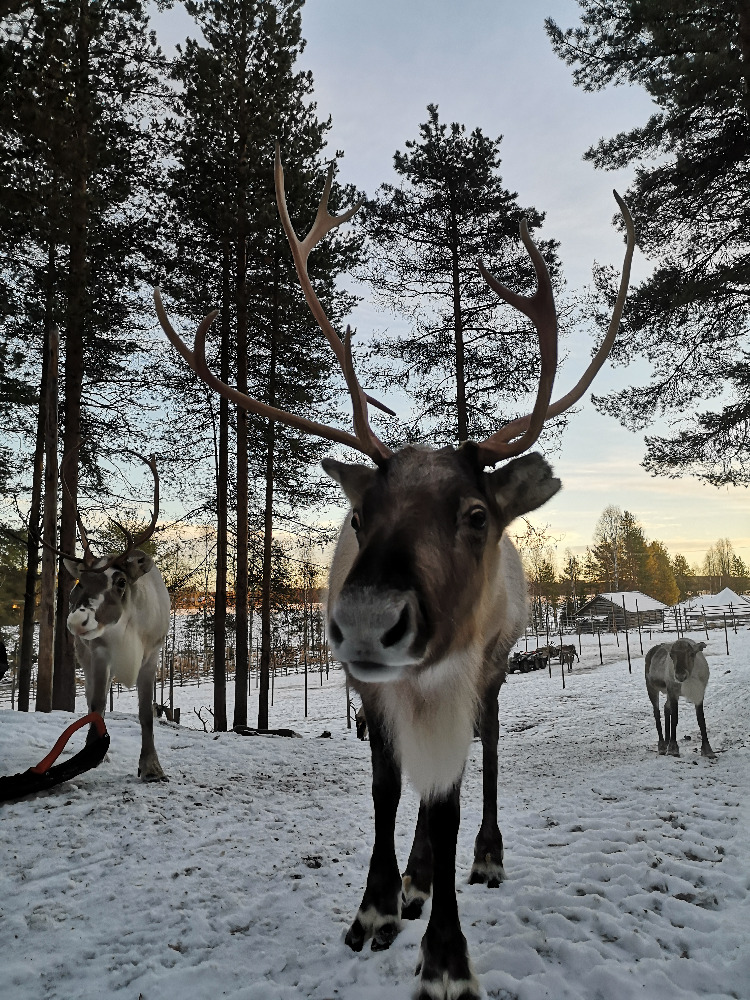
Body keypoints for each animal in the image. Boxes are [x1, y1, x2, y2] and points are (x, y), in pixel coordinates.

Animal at [62, 454, 171, 781]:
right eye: (80, 581)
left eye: (120, 581)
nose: (77, 621)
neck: (129, 632)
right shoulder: (99, 654)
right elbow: (96, 704)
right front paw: (91, 753)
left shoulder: (152, 655)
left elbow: (147, 712)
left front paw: (151, 768)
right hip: (84, 657)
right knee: (90, 700)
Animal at [154, 144, 634, 1000]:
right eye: (358, 516)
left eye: (475, 515)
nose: (369, 621)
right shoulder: (366, 687)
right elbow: (387, 791)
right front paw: (377, 907)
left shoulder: (463, 671)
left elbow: (446, 799)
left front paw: (446, 957)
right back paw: (413, 880)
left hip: (494, 669)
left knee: (484, 755)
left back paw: (482, 857)